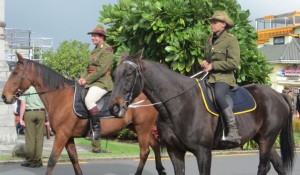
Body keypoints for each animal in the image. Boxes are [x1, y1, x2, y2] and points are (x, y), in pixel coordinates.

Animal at [0, 53, 166, 175]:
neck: (60, 96)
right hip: (138, 128)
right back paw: (161, 170)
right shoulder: (68, 137)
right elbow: (74, 160)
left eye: (15, 72)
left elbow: (52, 160)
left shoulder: (62, 135)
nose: (4, 96)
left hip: (142, 129)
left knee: (144, 152)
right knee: (155, 145)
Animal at [108, 52, 296, 175]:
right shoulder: (175, 151)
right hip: (263, 140)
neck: (179, 103)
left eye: (129, 74)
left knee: (264, 167)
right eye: (115, 74)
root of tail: (278, 94)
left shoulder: (203, 152)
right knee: (278, 166)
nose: (114, 108)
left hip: (266, 139)